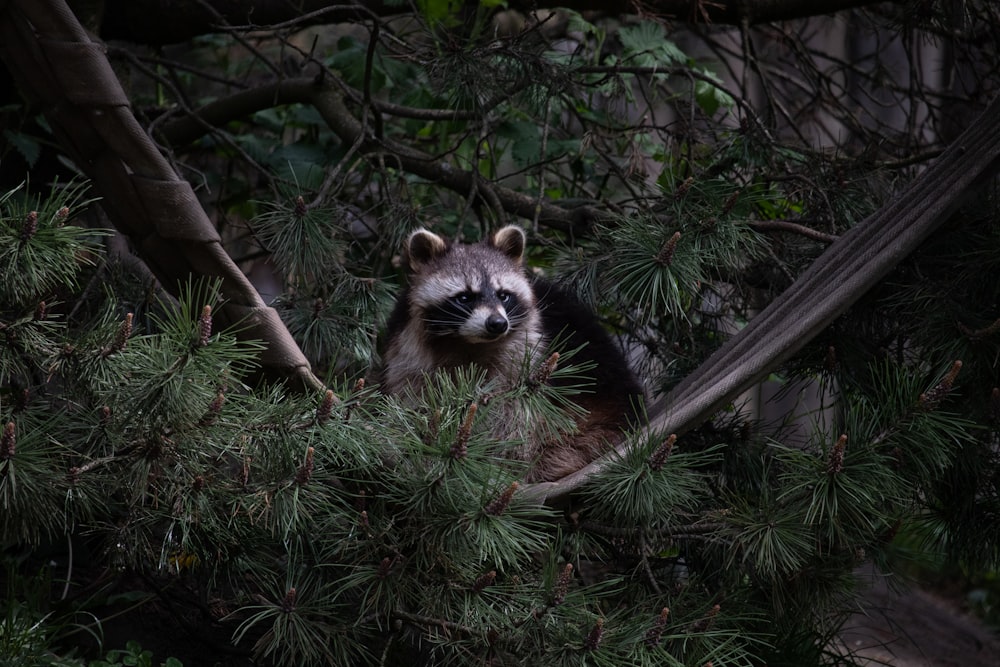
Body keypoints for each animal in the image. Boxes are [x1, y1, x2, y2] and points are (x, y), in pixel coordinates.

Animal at [378, 227, 644, 482]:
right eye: (464, 297)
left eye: (503, 295)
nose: (497, 324)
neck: (466, 342)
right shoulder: (406, 346)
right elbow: (412, 394)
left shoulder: (528, 349)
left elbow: (511, 411)